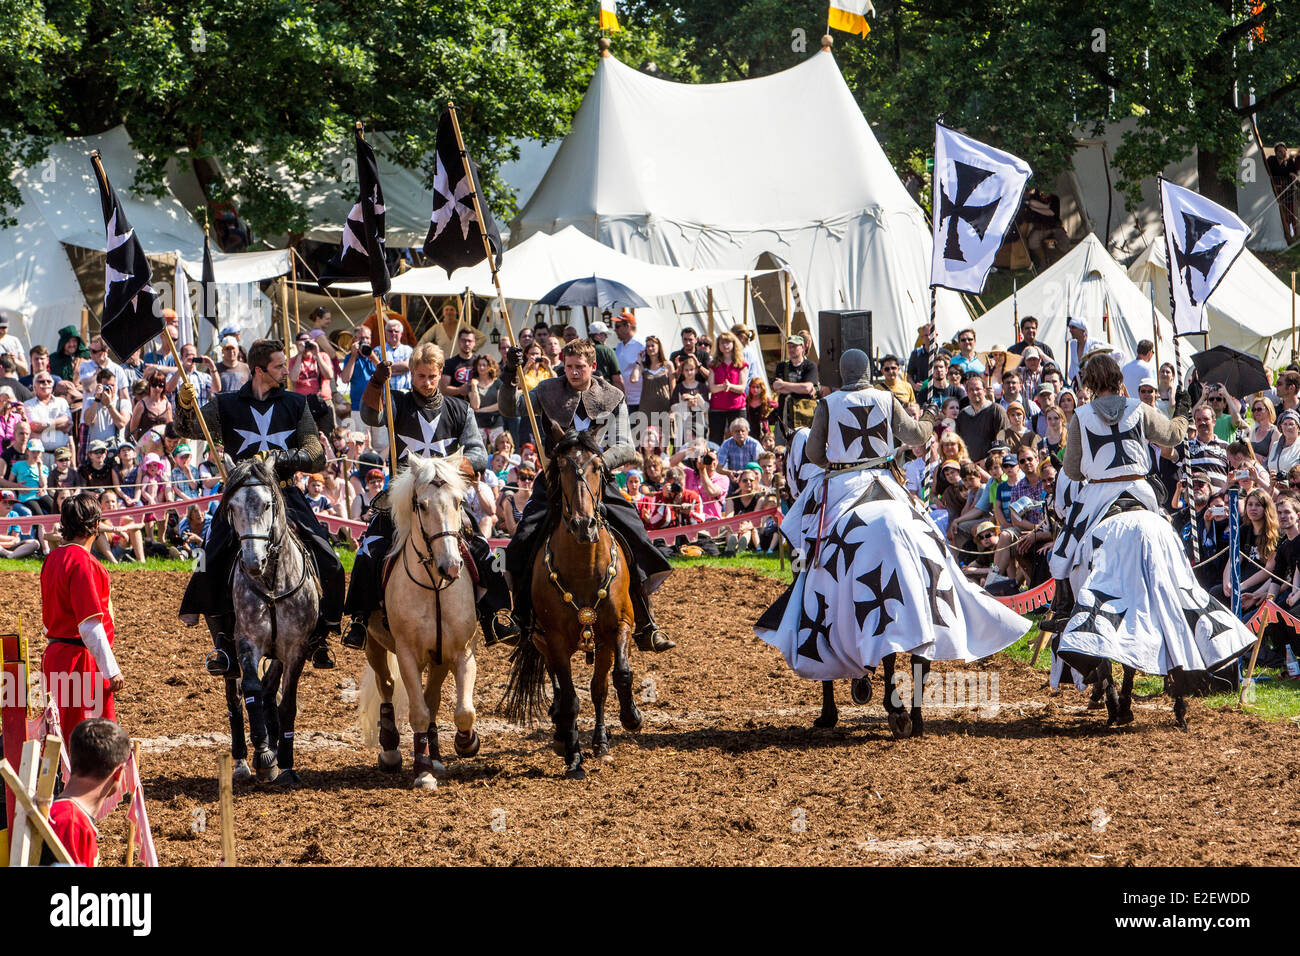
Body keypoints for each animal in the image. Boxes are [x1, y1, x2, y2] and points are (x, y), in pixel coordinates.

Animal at [218, 463, 319, 785]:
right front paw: (263, 754)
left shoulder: (295, 649)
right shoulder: (246, 642)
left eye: (266, 504)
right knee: (235, 696)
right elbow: (251, 689)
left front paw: (284, 763)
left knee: (270, 689)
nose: (253, 561)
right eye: (232, 507)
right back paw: (241, 760)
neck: (273, 583)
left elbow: (286, 702)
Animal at [358, 455, 480, 790]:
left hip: (438, 659)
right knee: (387, 686)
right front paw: (422, 771)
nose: (451, 566)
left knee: (433, 699)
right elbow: (418, 714)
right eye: (422, 506)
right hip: (375, 646)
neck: (434, 587)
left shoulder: (460, 653)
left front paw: (466, 743)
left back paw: (436, 756)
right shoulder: (408, 656)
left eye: (459, 501)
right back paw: (391, 751)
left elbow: (463, 711)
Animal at [499, 426, 642, 780]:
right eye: (561, 467)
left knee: (598, 687)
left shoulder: (619, 626)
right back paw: (563, 737)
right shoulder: (555, 640)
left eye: (598, 467)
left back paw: (600, 741)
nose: (582, 524)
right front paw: (574, 759)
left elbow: (618, 676)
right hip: (542, 642)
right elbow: (570, 698)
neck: (583, 567)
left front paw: (631, 718)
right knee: (562, 692)